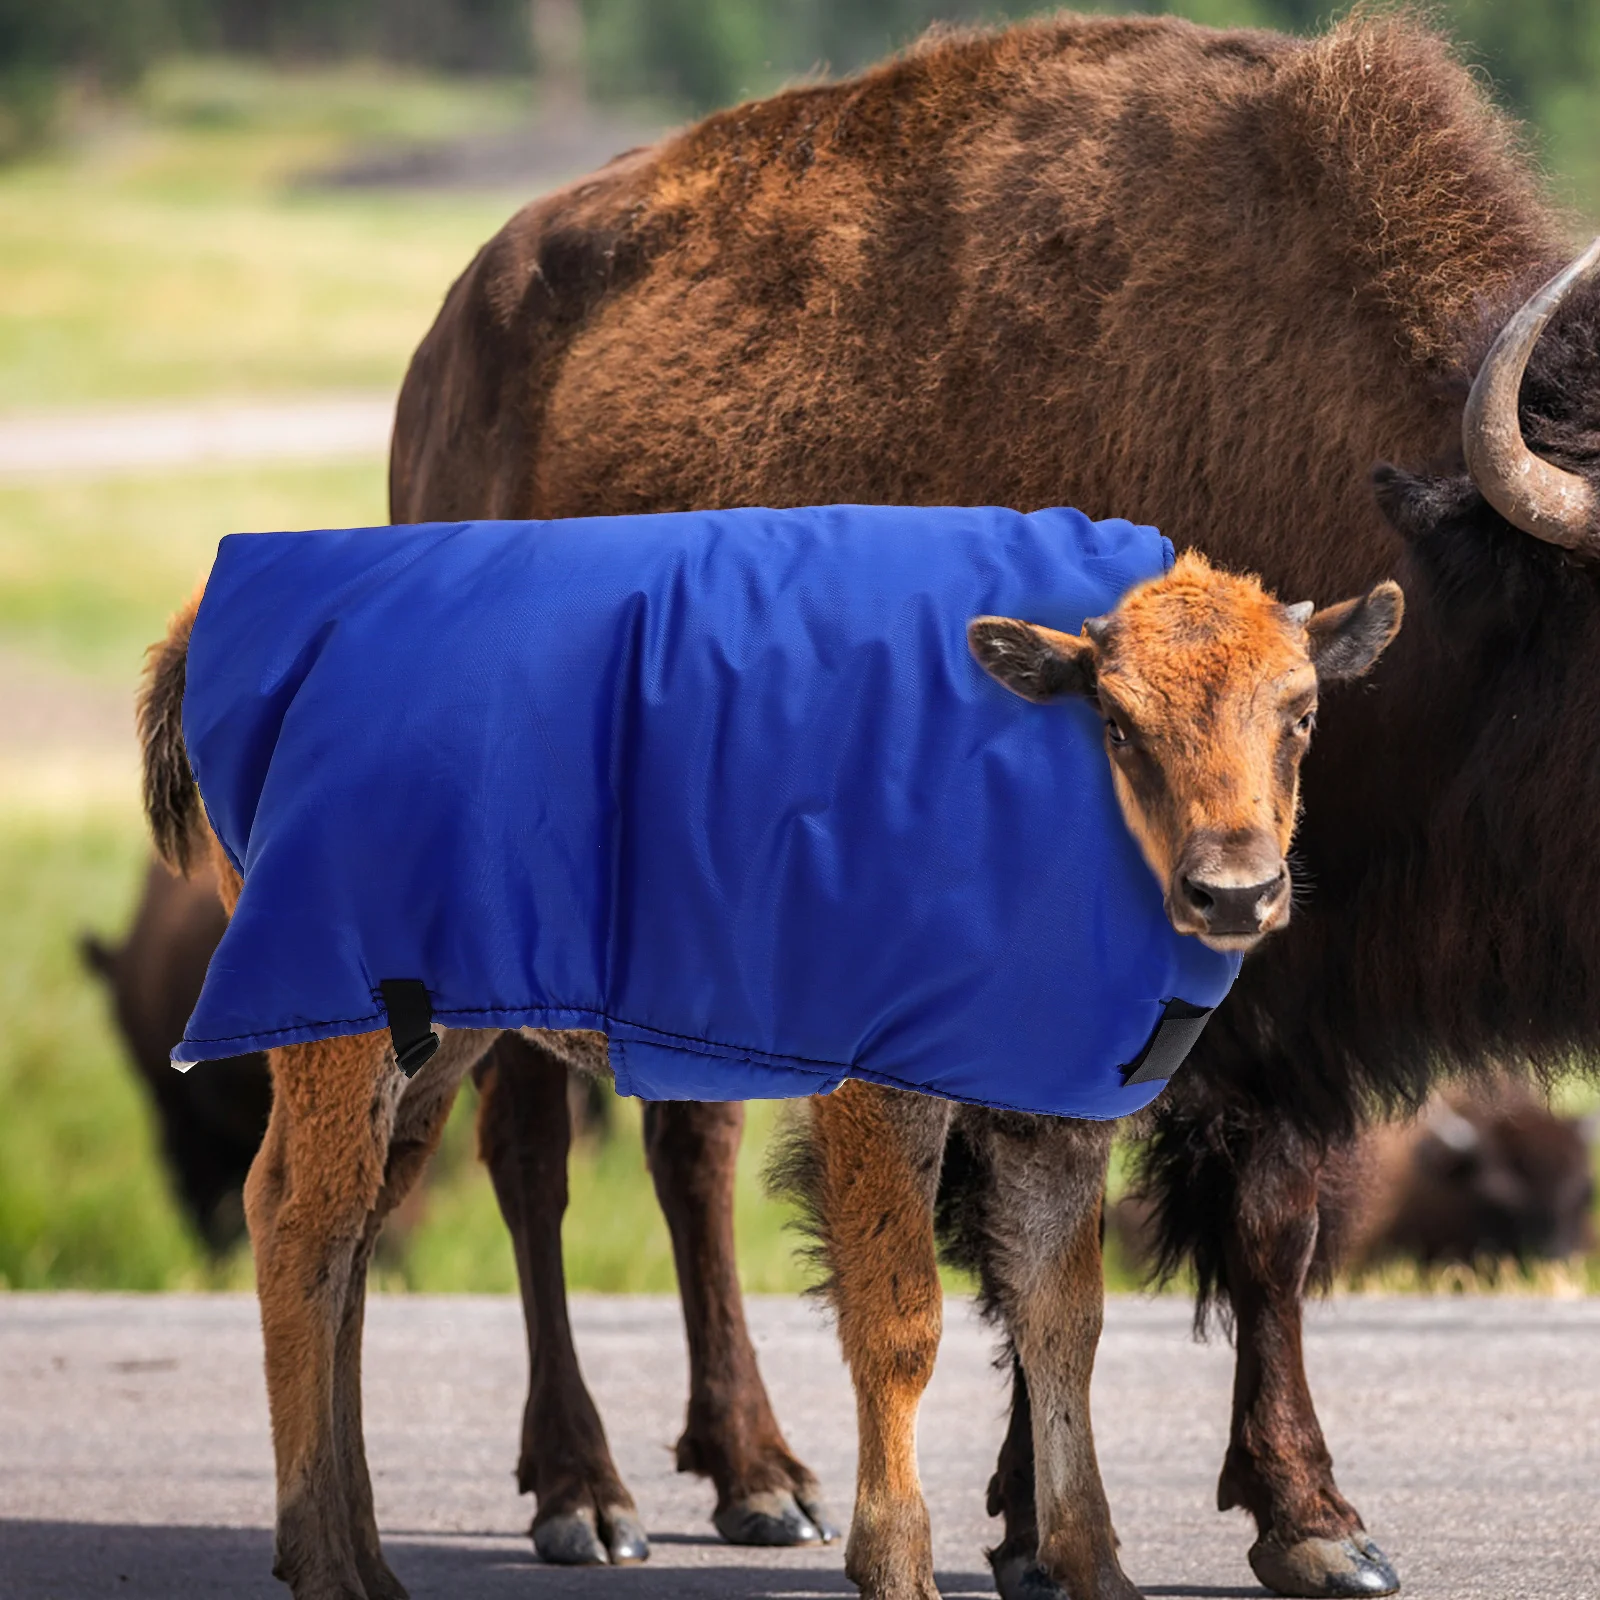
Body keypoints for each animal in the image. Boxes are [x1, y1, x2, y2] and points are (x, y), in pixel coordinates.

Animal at [390, 12, 1600, 1600]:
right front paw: (1045, 1527)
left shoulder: (1270, 1000)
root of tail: (443, 353)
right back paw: (588, 1498)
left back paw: (758, 1478)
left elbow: (1252, 1232)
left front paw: (1308, 1524)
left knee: (686, 1150)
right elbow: (1011, 1254)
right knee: (534, 1157)